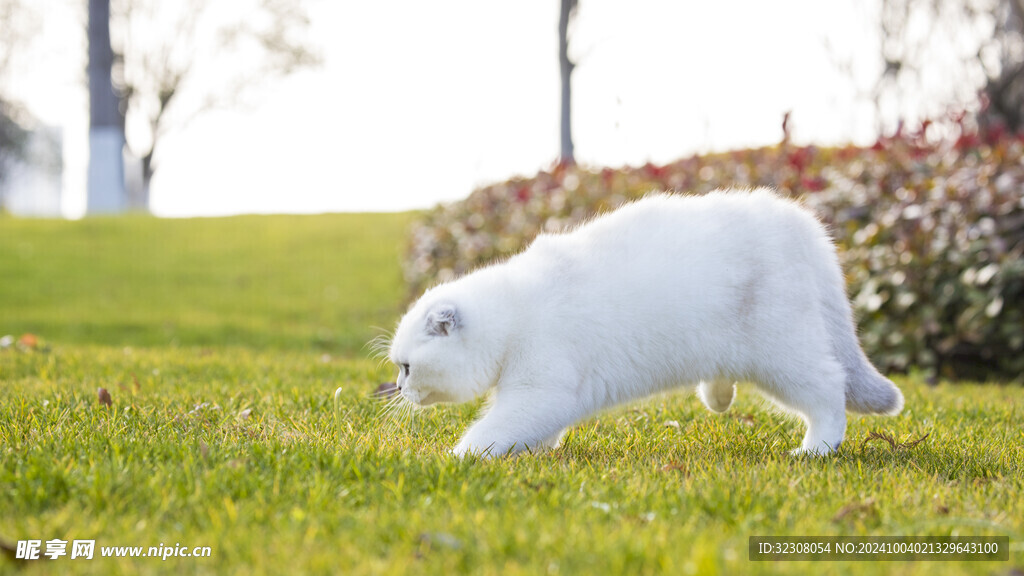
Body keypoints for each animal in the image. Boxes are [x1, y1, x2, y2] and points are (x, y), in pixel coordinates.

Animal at [389, 190, 905, 455]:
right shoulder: (542, 400)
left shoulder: (541, 390)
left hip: (781, 356)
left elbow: (489, 433)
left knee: (829, 390)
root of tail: (802, 225)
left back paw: (816, 449)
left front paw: (456, 462)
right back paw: (718, 396)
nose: (398, 389)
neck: (514, 314)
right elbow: (532, 432)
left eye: (406, 367)